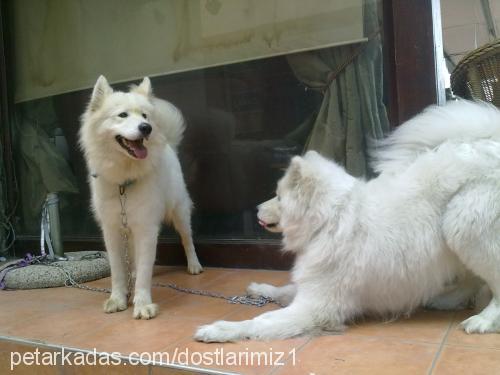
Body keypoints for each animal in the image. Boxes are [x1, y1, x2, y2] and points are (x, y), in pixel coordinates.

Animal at [80, 75, 201, 320]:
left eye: (144, 116)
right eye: (122, 115)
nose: (146, 128)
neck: (124, 183)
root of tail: (169, 146)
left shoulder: (146, 229)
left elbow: (146, 269)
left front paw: (143, 304)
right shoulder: (112, 230)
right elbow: (118, 270)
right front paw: (117, 299)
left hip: (180, 214)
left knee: (187, 240)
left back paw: (194, 265)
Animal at [194, 100, 500, 344]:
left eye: (279, 197)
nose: (257, 208)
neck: (328, 220)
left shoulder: (317, 304)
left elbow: (260, 322)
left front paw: (219, 329)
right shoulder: (311, 288)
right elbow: (283, 290)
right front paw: (260, 289)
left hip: (464, 227)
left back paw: (483, 320)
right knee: (472, 278)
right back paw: (445, 301)